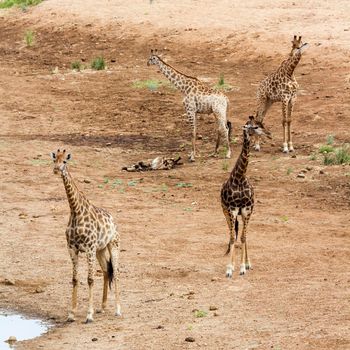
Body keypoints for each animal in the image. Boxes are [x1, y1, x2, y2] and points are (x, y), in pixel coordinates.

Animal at [48, 148, 121, 322]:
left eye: (65, 161)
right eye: (54, 160)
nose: (56, 170)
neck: (75, 211)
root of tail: (113, 220)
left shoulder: (88, 248)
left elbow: (90, 279)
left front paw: (89, 315)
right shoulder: (72, 249)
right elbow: (75, 279)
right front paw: (71, 314)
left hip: (113, 245)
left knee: (116, 272)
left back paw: (117, 309)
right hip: (100, 249)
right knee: (107, 271)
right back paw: (102, 307)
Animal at [221, 116, 270, 278]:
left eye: (261, 125)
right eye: (254, 127)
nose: (269, 134)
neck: (240, 178)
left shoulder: (247, 210)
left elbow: (243, 237)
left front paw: (243, 266)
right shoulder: (232, 210)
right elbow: (233, 238)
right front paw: (230, 268)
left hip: (244, 213)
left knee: (243, 235)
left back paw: (247, 264)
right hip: (226, 212)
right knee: (232, 235)